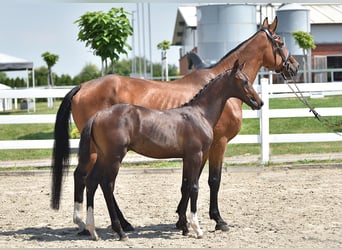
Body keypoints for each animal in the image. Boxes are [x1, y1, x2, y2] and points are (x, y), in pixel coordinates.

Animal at [78, 60, 264, 240]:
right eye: (244, 81)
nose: (259, 102)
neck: (200, 114)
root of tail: (97, 116)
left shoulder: (188, 158)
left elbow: (186, 186)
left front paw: (184, 226)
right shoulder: (196, 155)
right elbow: (194, 187)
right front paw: (197, 228)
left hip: (103, 156)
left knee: (92, 182)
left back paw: (93, 230)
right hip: (114, 157)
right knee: (107, 185)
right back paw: (120, 231)